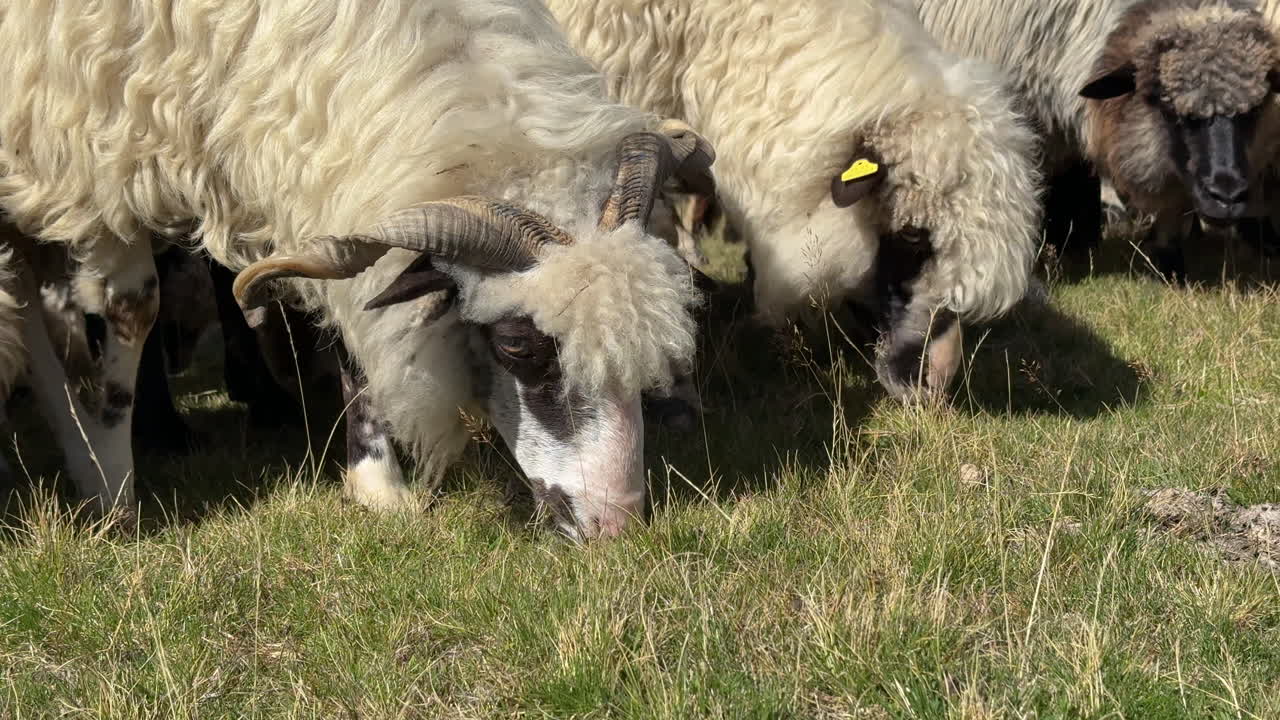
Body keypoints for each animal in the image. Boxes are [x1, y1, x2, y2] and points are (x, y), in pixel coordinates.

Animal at [0, 0, 713, 538]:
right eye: (515, 345)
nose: (616, 522)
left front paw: (375, 482)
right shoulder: (98, 157)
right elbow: (134, 309)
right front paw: (114, 493)